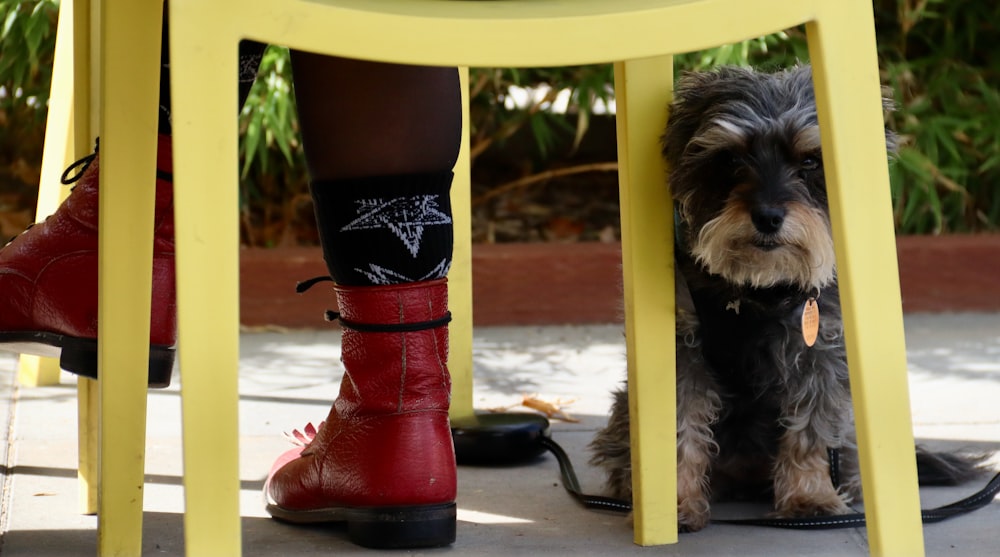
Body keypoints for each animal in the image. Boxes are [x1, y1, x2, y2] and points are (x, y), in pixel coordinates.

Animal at [588, 65, 980, 528]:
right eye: (731, 159)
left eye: (810, 160)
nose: (768, 216)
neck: (756, 290)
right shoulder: (684, 355)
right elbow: (681, 429)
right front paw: (677, 505)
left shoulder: (818, 355)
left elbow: (809, 430)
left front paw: (810, 497)